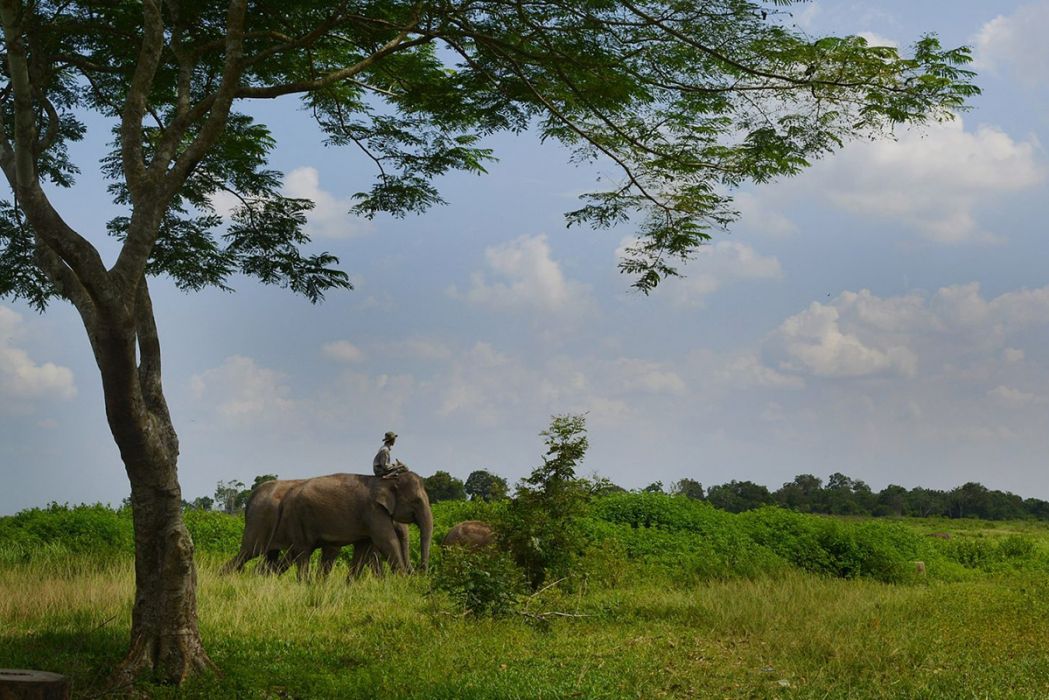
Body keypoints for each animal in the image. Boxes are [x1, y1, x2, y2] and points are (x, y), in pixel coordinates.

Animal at [274, 470, 434, 579]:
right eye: (416, 501)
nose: (420, 572)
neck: (386, 480)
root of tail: (287, 497)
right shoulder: (374, 511)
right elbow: (387, 541)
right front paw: (403, 582)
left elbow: (364, 548)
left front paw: (348, 586)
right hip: (298, 518)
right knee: (303, 551)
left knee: (296, 551)